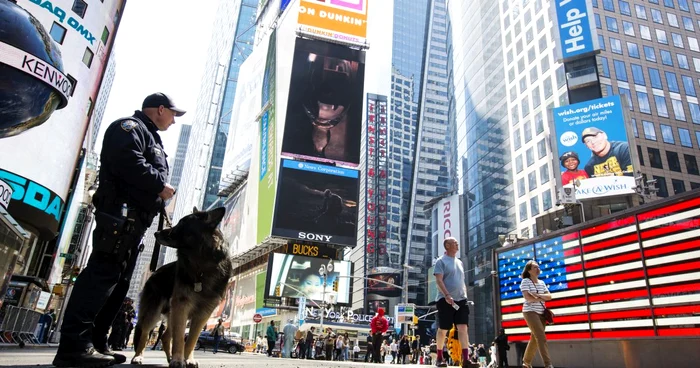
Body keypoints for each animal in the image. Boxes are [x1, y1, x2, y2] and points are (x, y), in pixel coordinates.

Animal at [130, 208, 231, 366]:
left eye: (182, 223)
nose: (156, 233)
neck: (202, 267)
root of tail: (154, 272)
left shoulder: (203, 314)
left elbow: (191, 340)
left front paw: (188, 359)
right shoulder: (182, 306)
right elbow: (179, 338)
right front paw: (178, 359)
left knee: (165, 336)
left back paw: (169, 357)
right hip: (154, 313)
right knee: (145, 334)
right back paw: (138, 356)